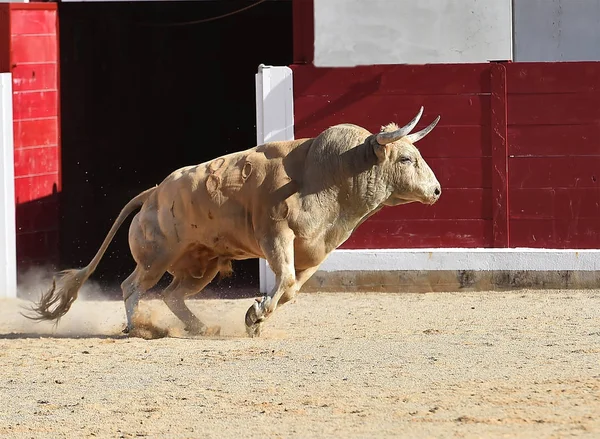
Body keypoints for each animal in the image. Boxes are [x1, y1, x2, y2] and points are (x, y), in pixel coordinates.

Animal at [24, 108, 440, 338]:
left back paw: (198, 327)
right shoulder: (275, 235)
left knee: (172, 295)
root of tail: (152, 194)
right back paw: (138, 329)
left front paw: (256, 317)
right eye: (406, 159)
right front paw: (256, 313)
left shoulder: (314, 251)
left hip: (200, 265)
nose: (436, 191)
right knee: (132, 287)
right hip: (156, 259)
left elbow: (291, 288)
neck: (330, 173)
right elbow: (284, 279)